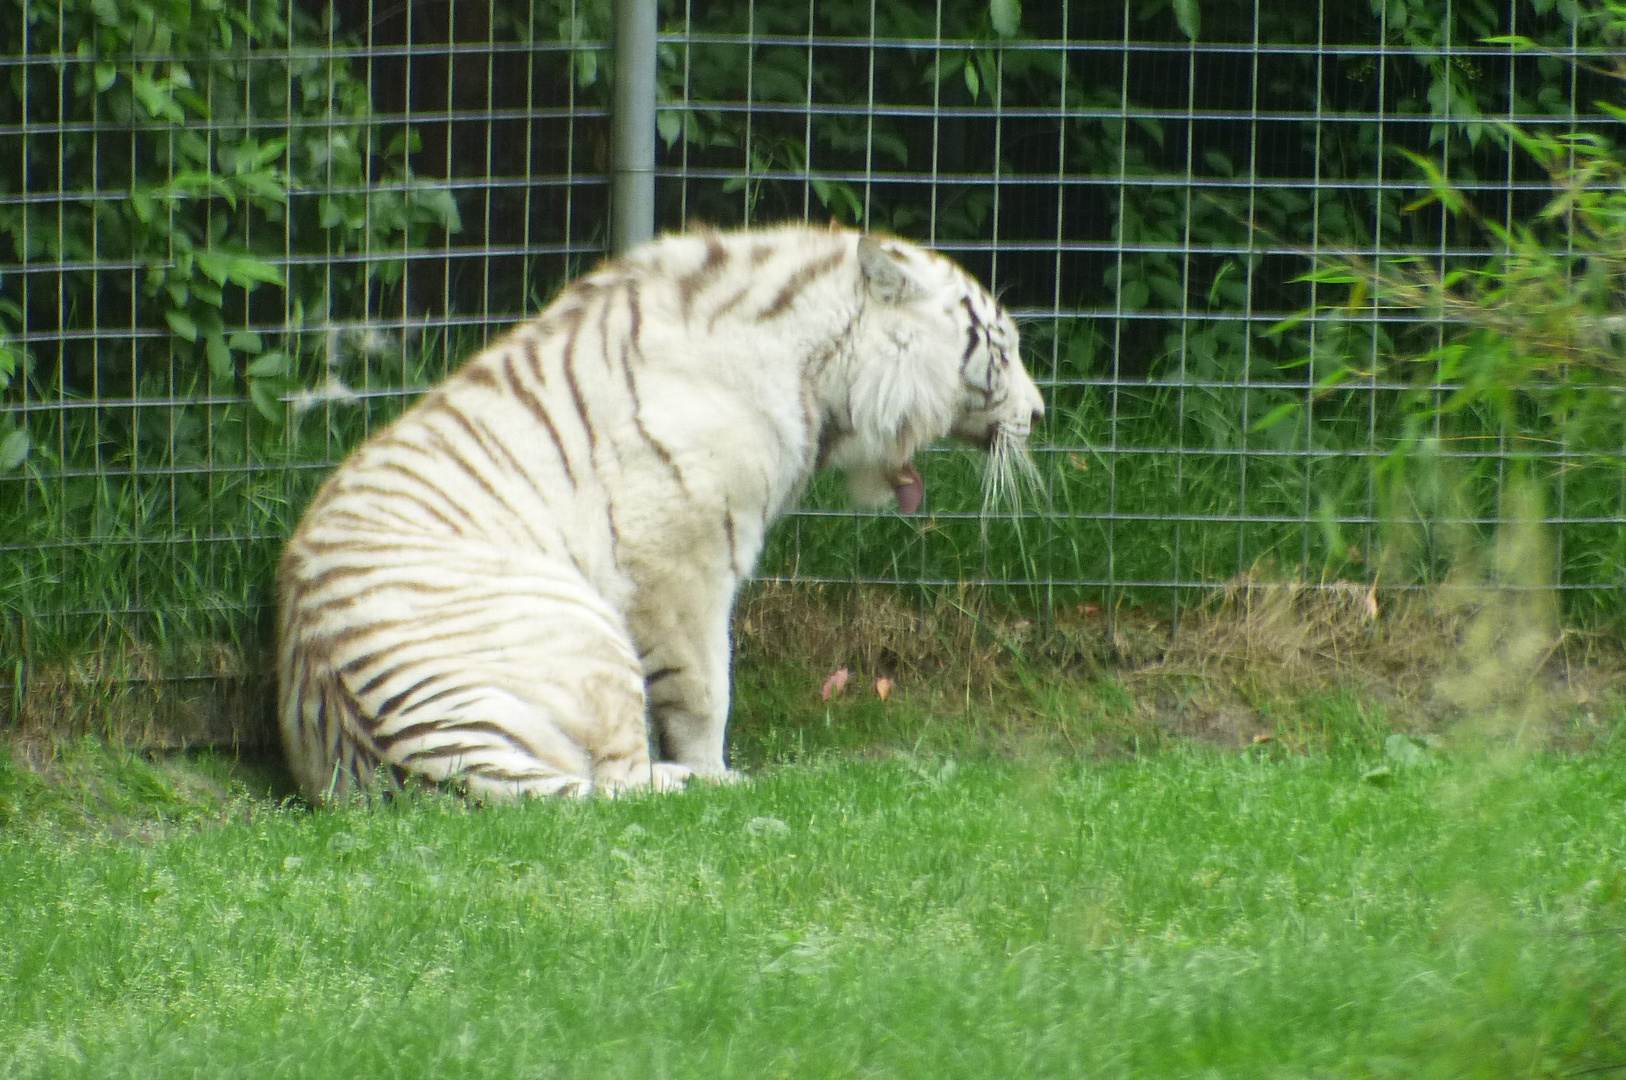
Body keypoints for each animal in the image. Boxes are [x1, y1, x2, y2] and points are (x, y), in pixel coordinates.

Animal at [276, 222, 1040, 800]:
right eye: (1000, 348)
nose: (1038, 414)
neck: (818, 369)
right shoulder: (683, 559)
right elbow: (705, 687)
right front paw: (717, 770)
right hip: (586, 632)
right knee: (612, 782)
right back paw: (689, 783)